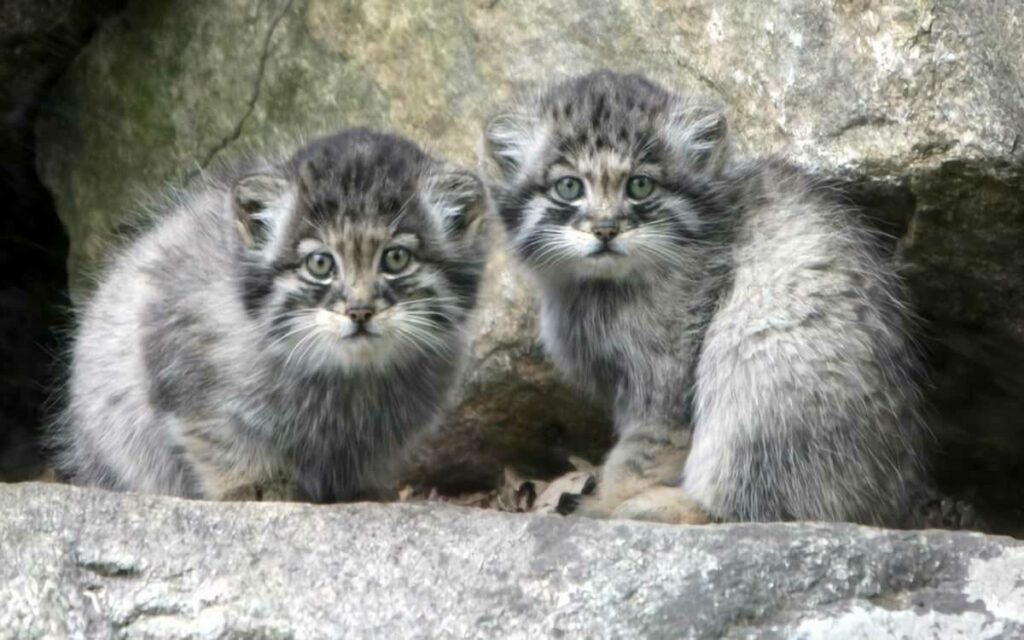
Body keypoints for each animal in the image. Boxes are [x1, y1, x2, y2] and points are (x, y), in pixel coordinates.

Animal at [58, 127, 489, 501]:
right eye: (320, 264)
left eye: (396, 258)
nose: (360, 311)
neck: (346, 380)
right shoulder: (182, 371)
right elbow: (221, 441)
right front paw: (254, 485)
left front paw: (364, 490)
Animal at [483, 72, 925, 528]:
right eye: (569, 186)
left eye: (640, 185)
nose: (606, 229)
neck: (603, 288)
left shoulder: (665, 387)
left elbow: (638, 457)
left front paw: (606, 503)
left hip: (759, 372)